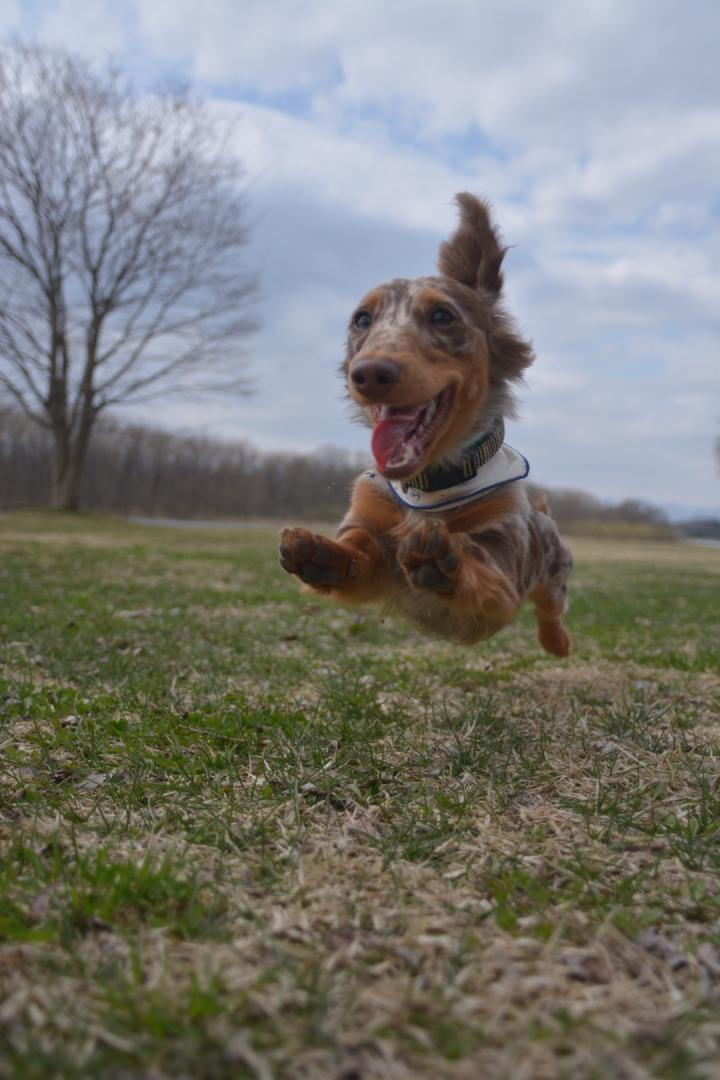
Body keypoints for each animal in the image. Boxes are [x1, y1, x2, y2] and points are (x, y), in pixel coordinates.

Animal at [278, 190, 569, 652]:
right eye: (362, 320)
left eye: (442, 316)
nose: (369, 374)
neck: (431, 484)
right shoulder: (369, 519)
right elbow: (358, 548)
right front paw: (321, 553)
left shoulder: (502, 561)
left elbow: (479, 568)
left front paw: (442, 561)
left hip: (555, 570)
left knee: (550, 606)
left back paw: (557, 642)